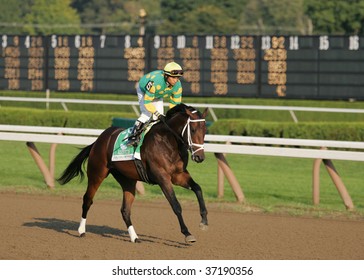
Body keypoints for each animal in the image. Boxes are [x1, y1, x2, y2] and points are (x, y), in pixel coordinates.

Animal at [58, 103, 209, 243]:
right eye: (193, 130)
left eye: (205, 131)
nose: (200, 157)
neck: (168, 142)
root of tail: (99, 140)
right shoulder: (162, 177)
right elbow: (176, 205)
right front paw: (187, 233)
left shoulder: (179, 175)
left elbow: (198, 188)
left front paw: (204, 221)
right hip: (97, 173)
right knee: (87, 200)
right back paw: (81, 230)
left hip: (127, 180)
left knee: (125, 210)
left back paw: (134, 237)